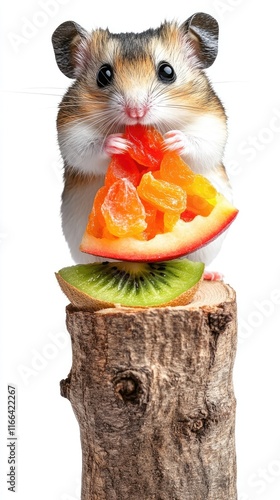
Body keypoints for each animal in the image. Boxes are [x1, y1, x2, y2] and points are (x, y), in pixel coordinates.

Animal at [51, 11, 231, 266]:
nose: (136, 112)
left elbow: (203, 141)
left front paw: (173, 141)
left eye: (167, 71)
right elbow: (86, 148)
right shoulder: (70, 131)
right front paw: (118, 143)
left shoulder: (213, 122)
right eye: (103, 75)